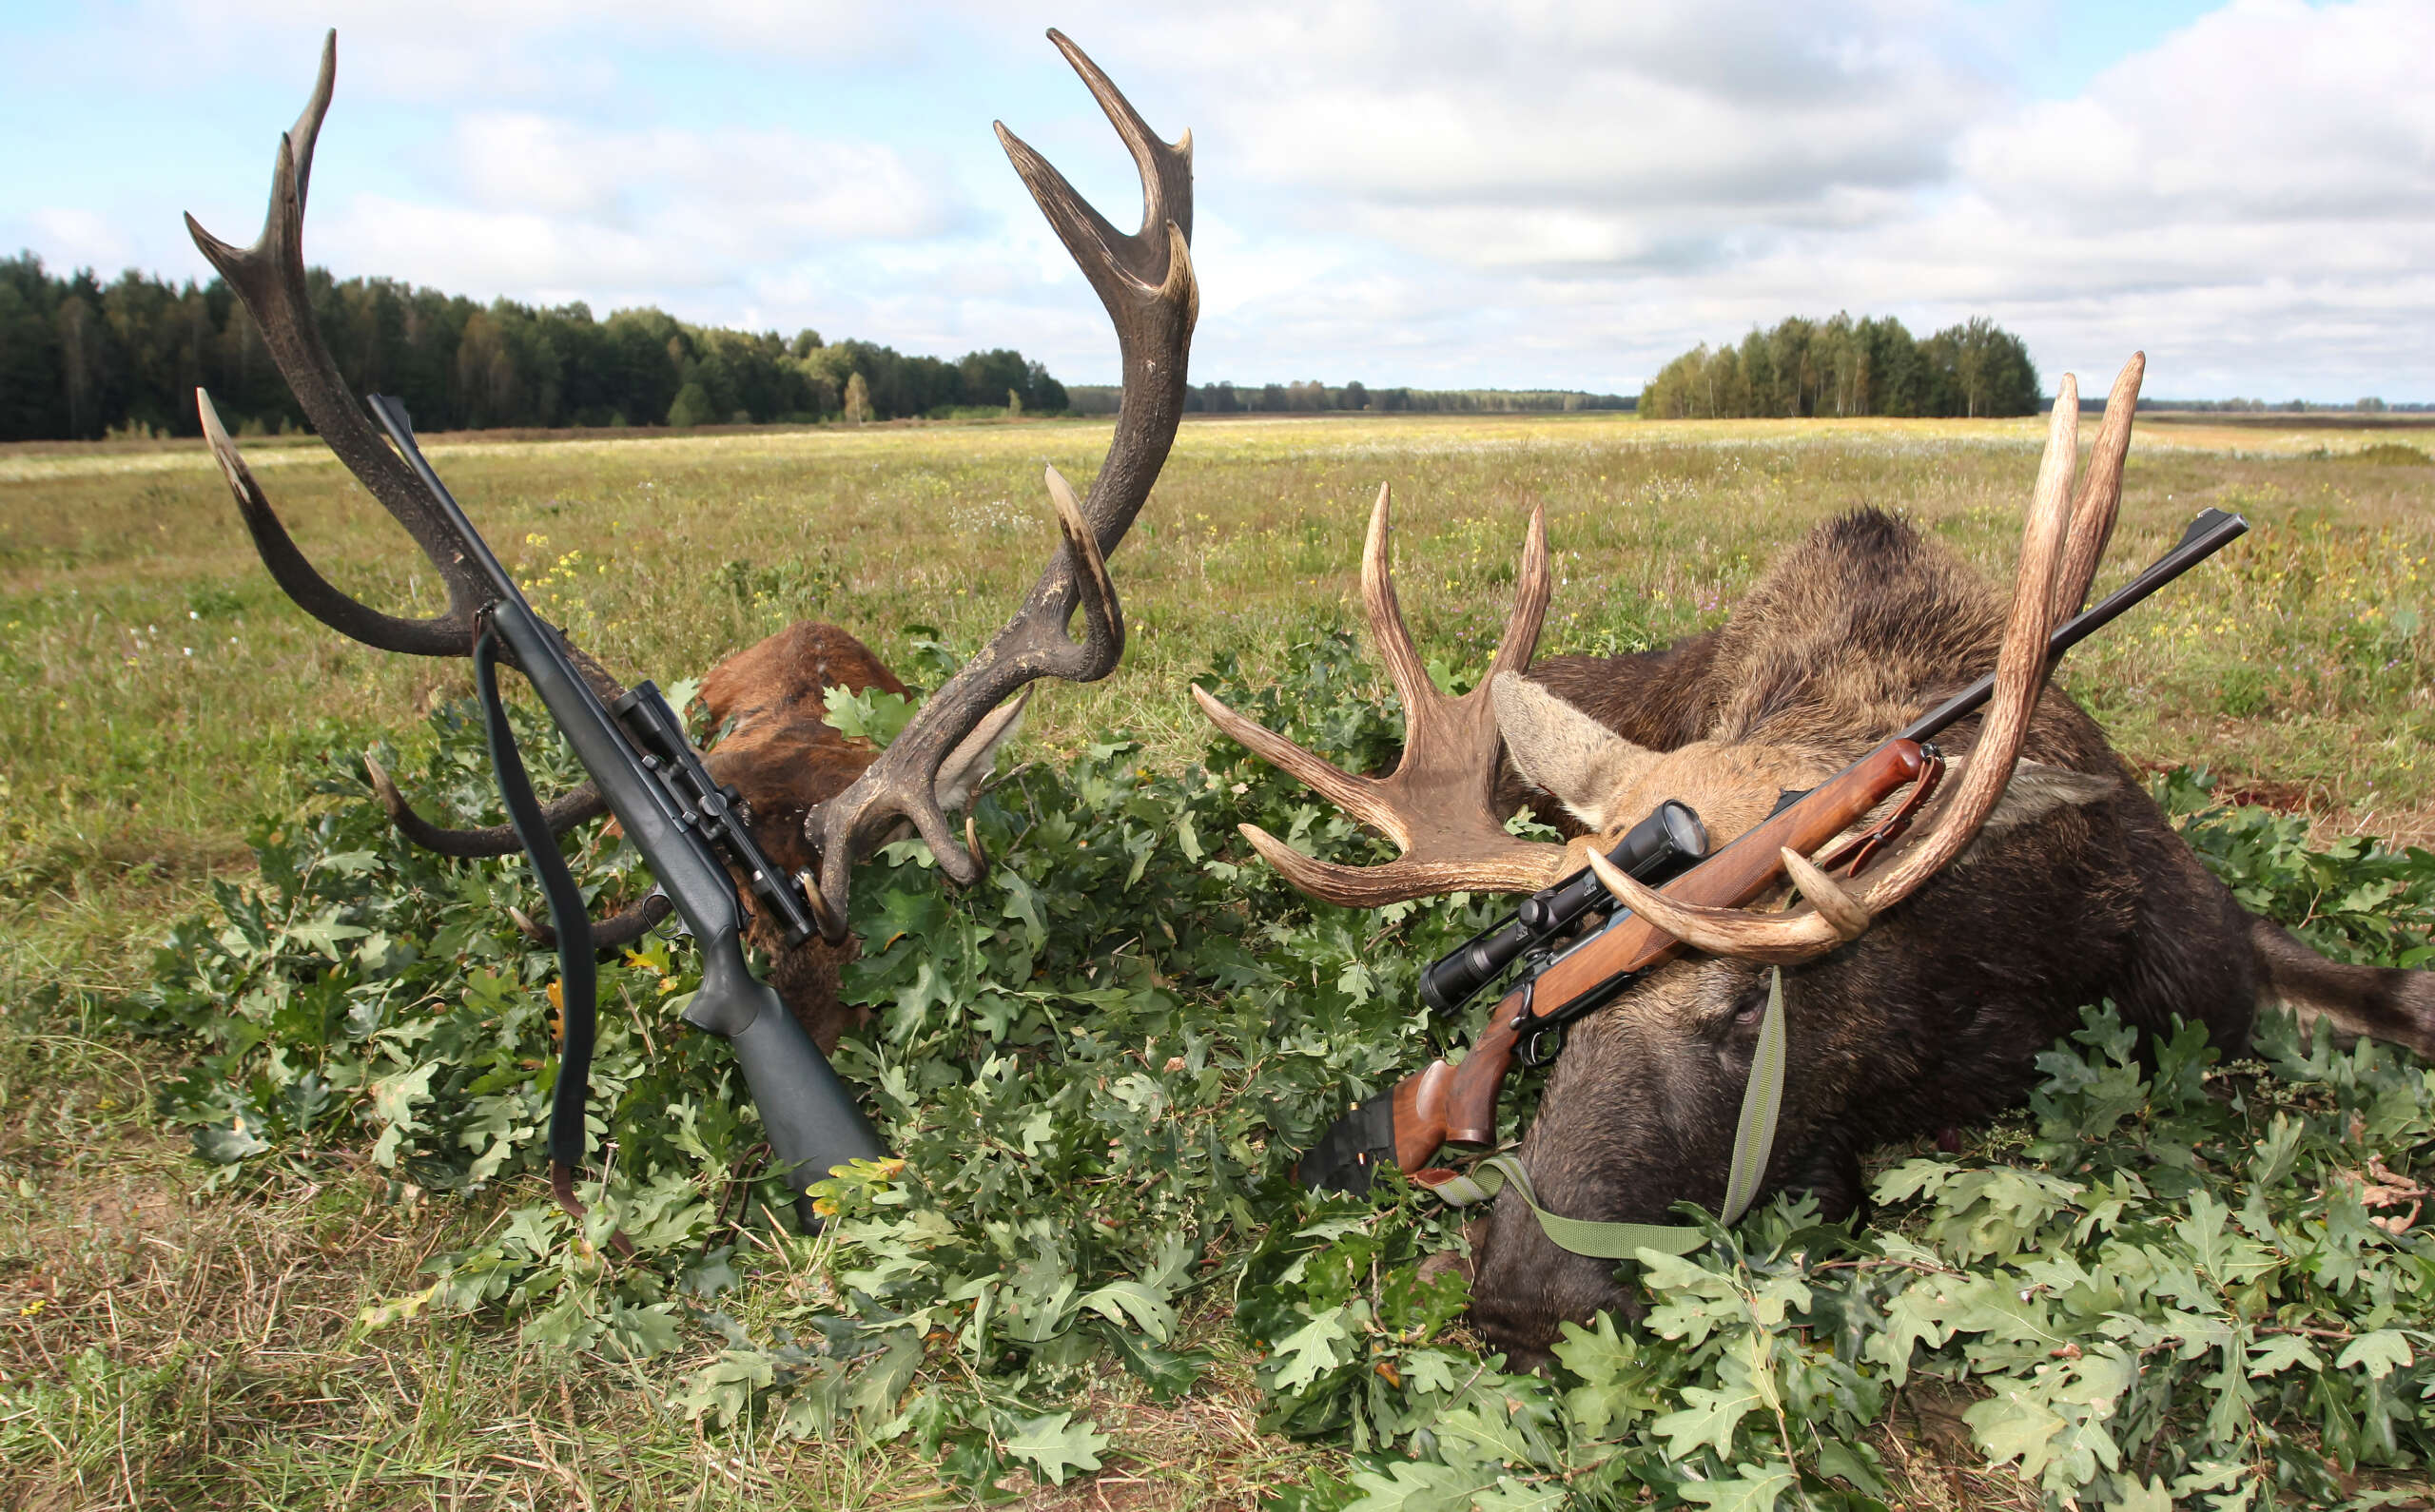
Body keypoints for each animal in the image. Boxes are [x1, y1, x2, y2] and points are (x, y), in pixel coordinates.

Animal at [1202, 367, 2435, 1363]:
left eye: (1756, 1003)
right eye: (1560, 1026)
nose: (1520, 1295)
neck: (2013, 979)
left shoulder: (2208, 952)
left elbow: (2399, 996)